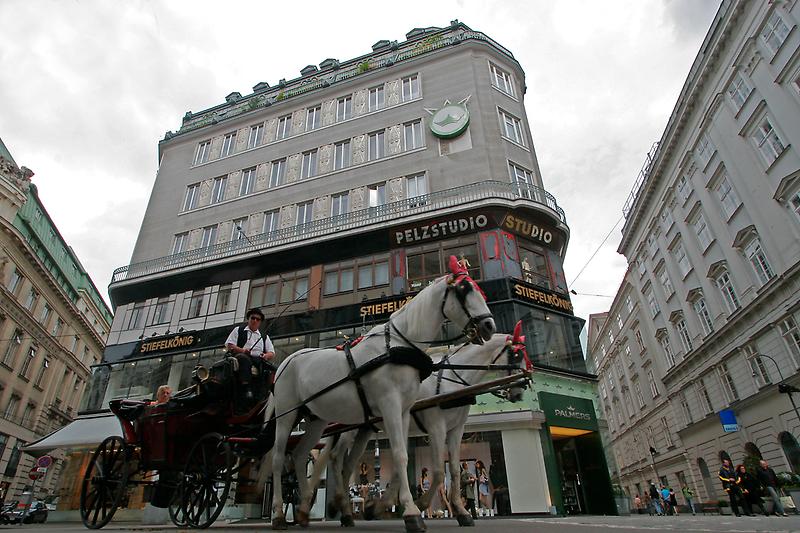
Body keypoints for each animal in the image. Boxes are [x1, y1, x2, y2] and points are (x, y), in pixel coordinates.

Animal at [268, 256, 494, 532]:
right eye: (464, 289)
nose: (489, 325)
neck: (399, 344)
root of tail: (284, 362)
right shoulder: (392, 406)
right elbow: (400, 455)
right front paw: (412, 512)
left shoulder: (406, 410)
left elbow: (407, 457)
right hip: (286, 415)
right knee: (279, 458)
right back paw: (280, 514)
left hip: (316, 419)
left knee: (301, 455)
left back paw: (303, 512)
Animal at [324, 320, 532, 524]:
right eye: (516, 354)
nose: (519, 393)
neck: (453, 380)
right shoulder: (436, 428)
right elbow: (439, 471)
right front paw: (421, 504)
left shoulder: (456, 430)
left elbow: (454, 470)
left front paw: (461, 511)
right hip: (348, 428)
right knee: (336, 457)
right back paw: (339, 506)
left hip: (365, 429)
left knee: (348, 463)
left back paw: (342, 507)